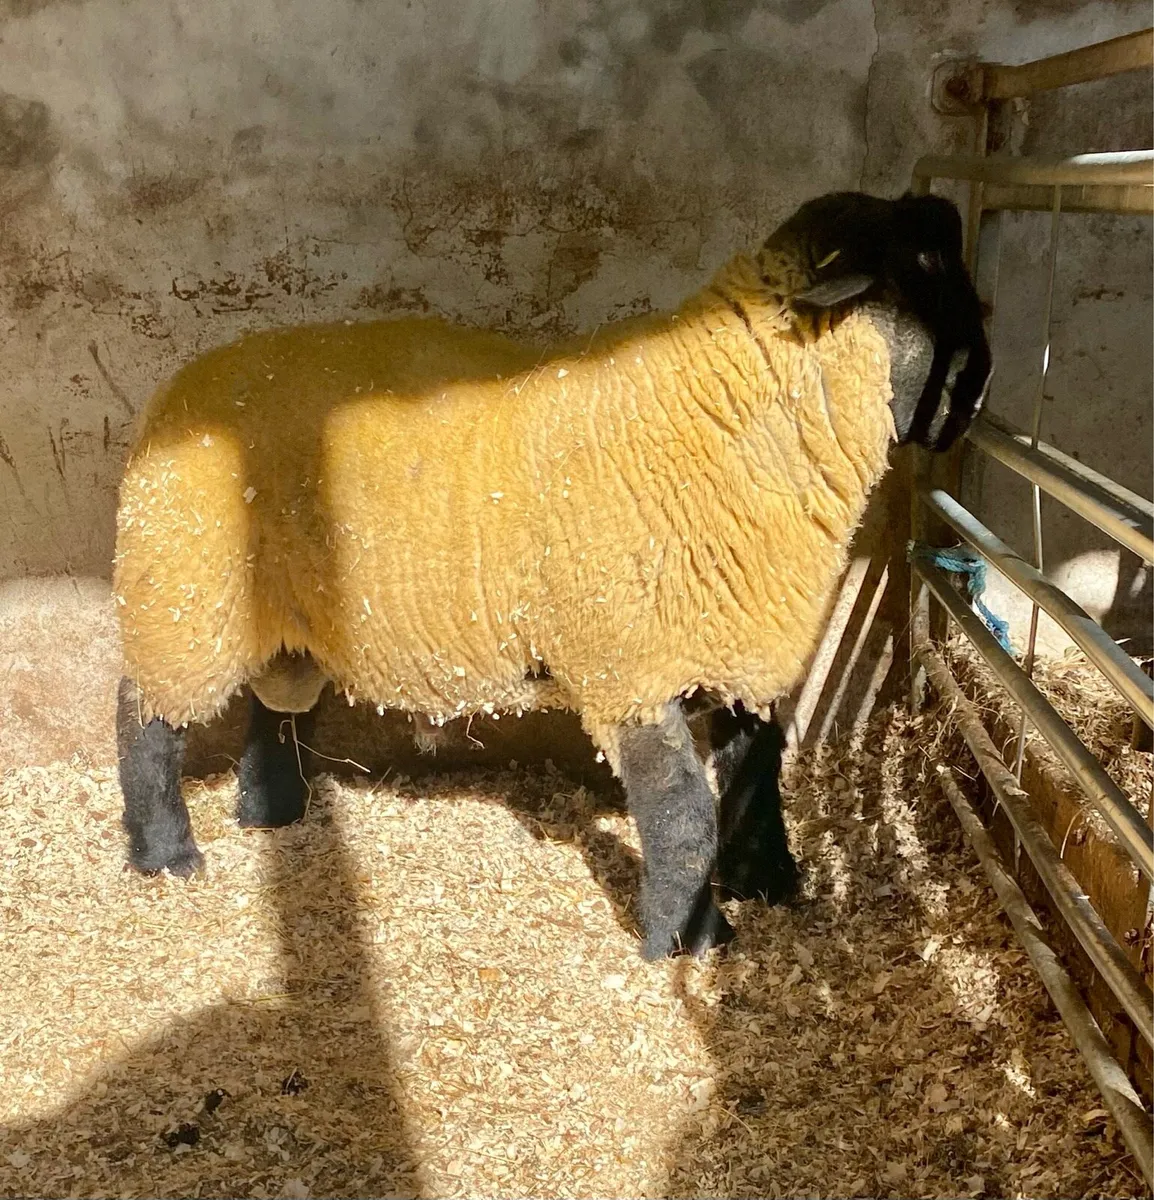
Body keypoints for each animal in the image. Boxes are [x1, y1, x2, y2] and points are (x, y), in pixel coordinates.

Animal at [113, 189, 991, 959]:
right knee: (143, 720)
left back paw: (270, 815)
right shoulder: (628, 667)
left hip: (282, 618)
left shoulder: (738, 645)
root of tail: (176, 390)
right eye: (919, 265)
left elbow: (755, 776)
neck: (719, 414)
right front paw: (689, 942)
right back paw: (166, 854)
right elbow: (683, 817)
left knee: (275, 706)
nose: (978, 393)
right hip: (181, 598)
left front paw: (769, 882)